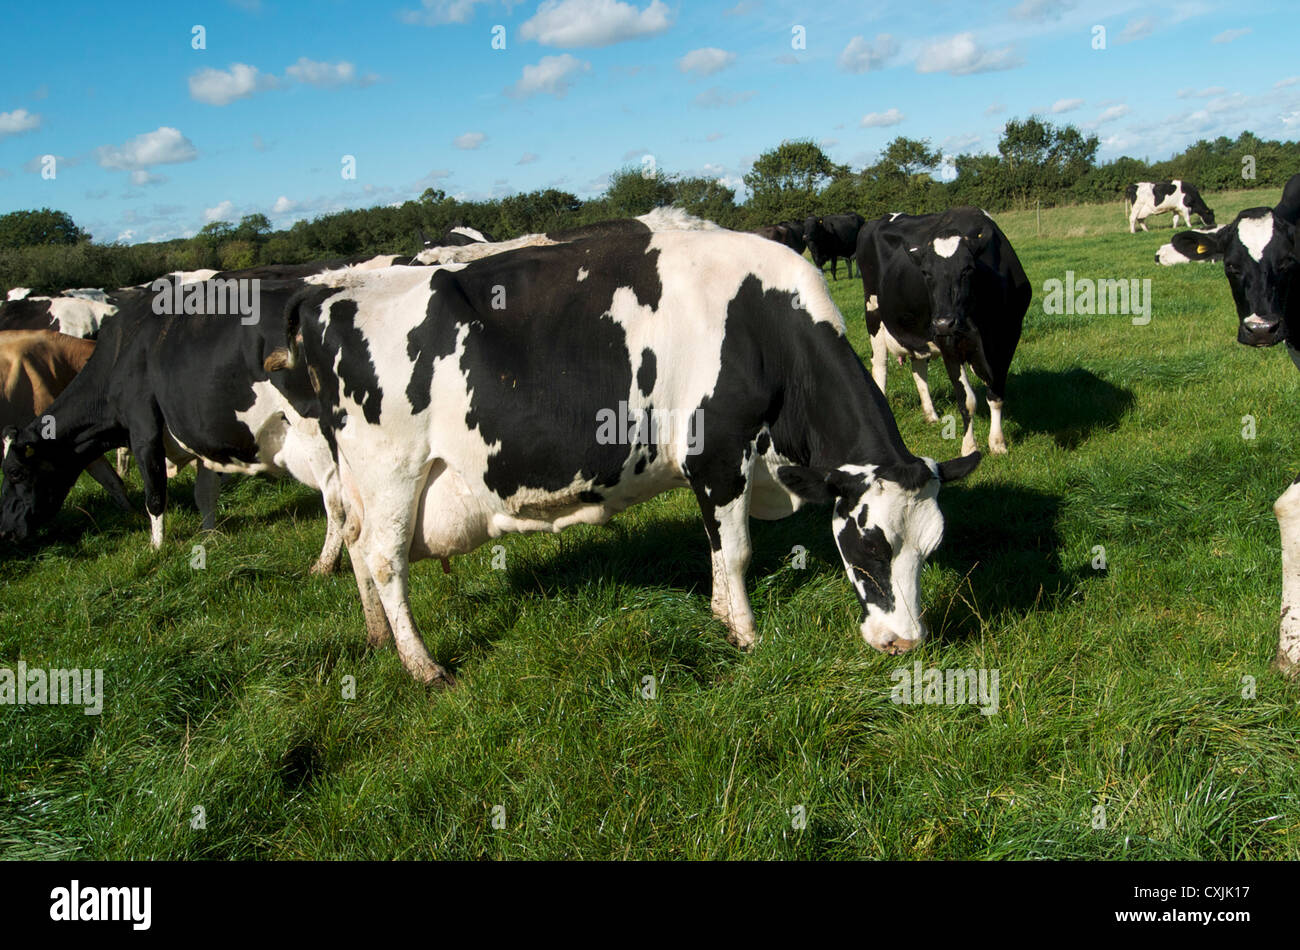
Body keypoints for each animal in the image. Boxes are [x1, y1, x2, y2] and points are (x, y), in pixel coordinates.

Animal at [271, 232, 982, 686]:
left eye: (932, 548)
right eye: (866, 545)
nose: (904, 641)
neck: (762, 323)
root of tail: (327, 295)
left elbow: (716, 550)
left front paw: (721, 615)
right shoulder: (717, 454)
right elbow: (736, 550)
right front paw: (747, 635)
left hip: (363, 484)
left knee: (356, 545)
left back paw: (376, 638)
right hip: (393, 473)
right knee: (384, 561)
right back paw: (423, 666)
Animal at [857, 206, 1029, 457]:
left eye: (967, 269)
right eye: (926, 273)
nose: (943, 322)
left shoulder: (1007, 338)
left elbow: (996, 393)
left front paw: (998, 444)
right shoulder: (949, 344)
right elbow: (967, 400)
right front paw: (969, 447)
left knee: (918, 369)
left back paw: (931, 416)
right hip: (874, 313)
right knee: (880, 367)